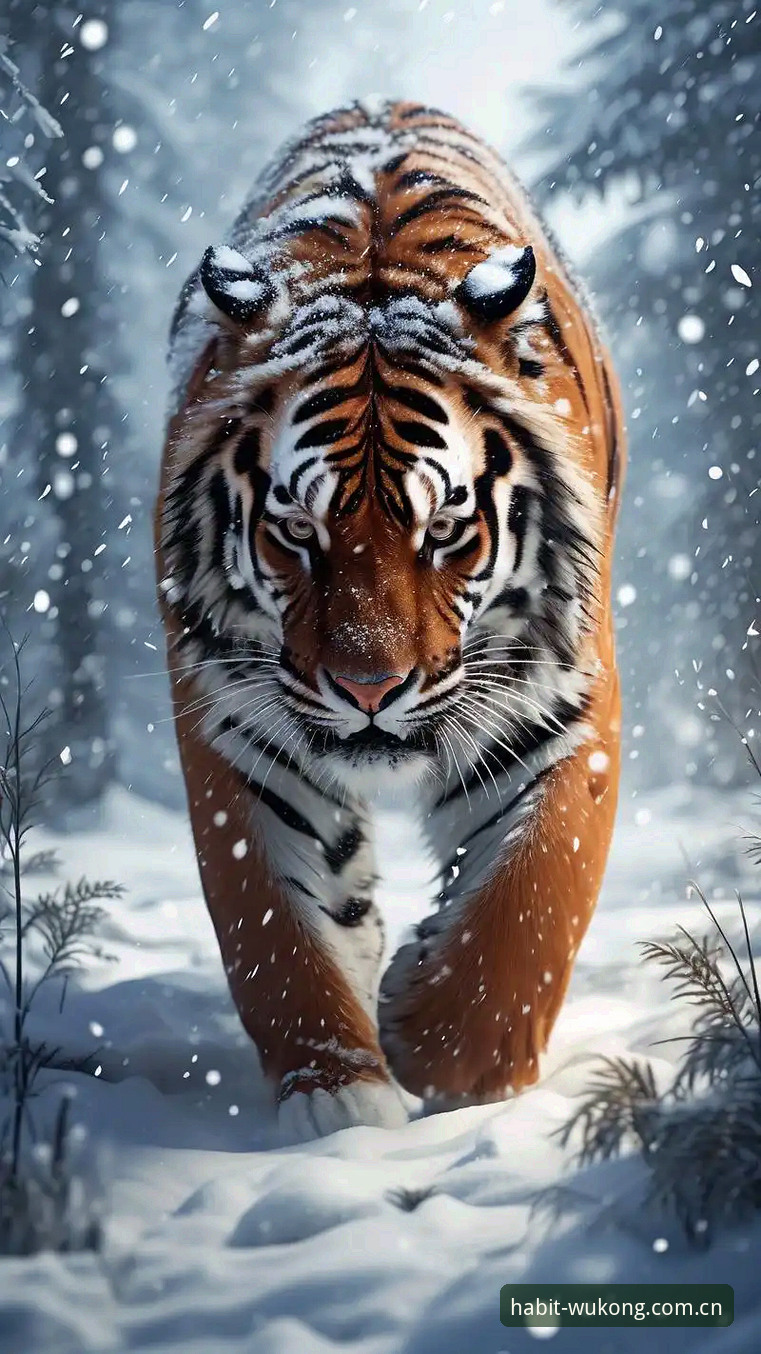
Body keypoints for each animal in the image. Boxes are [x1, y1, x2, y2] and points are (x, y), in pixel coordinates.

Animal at [155, 100, 624, 1143]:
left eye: (442, 527)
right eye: (296, 528)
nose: (369, 689)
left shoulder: (562, 698)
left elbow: (533, 896)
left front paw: (444, 1045)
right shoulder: (232, 718)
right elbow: (270, 922)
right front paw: (339, 1102)